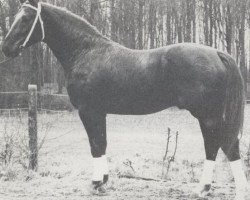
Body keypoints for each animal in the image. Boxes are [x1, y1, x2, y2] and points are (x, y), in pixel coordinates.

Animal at [1, 0, 248, 199]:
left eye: (26, 18)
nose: (6, 48)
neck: (86, 52)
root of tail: (217, 53)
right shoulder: (99, 112)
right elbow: (102, 142)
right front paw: (103, 181)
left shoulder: (88, 111)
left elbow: (95, 144)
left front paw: (95, 183)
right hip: (210, 116)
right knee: (220, 146)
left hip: (208, 116)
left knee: (220, 145)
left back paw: (215, 189)